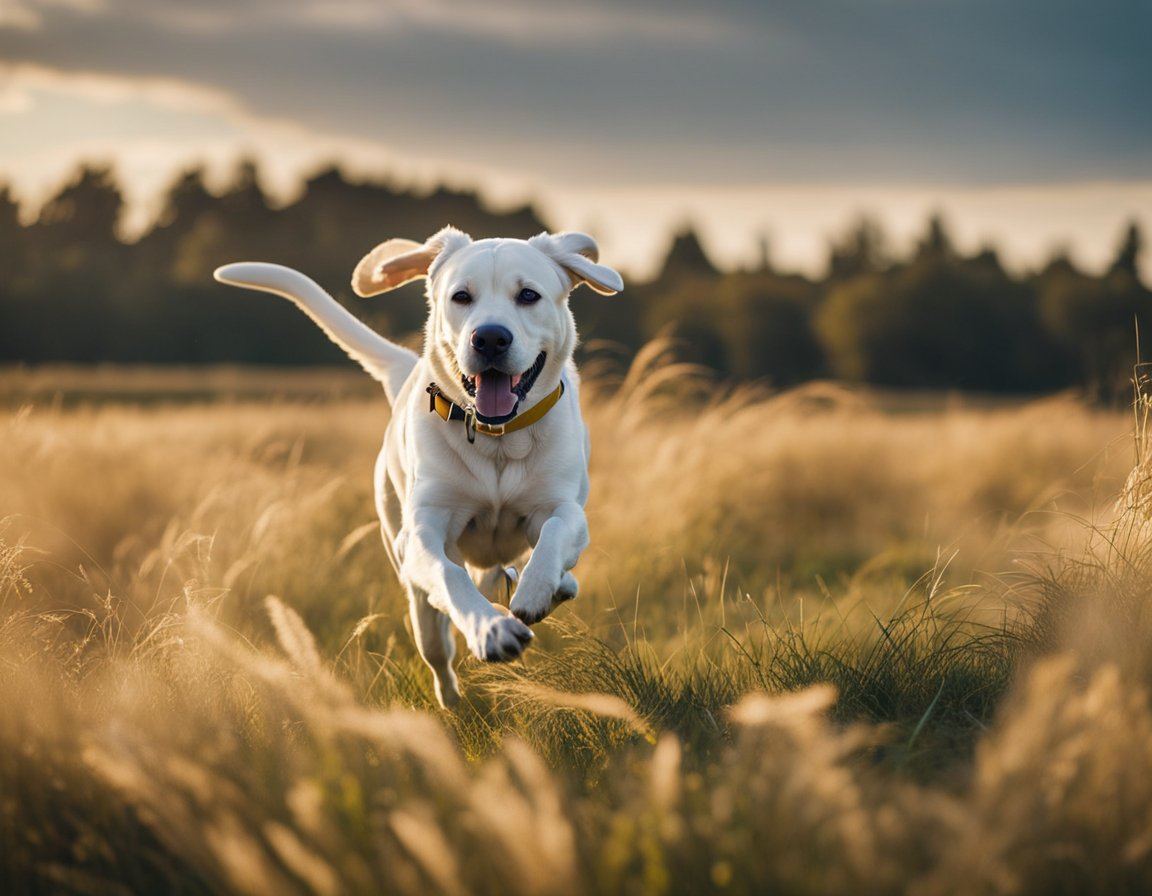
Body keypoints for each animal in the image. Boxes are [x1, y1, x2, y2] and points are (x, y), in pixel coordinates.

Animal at [214, 229, 622, 704]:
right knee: (438, 642)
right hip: (410, 575)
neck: (496, 438)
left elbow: (555, 530)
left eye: (528, 295)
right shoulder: (423, 532)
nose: (490, 339)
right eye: (461, 296)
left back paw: (551, 586)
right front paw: (492, 629)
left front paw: (538, 587)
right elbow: (449, 576)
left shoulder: (561, 509)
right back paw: (456, 694)